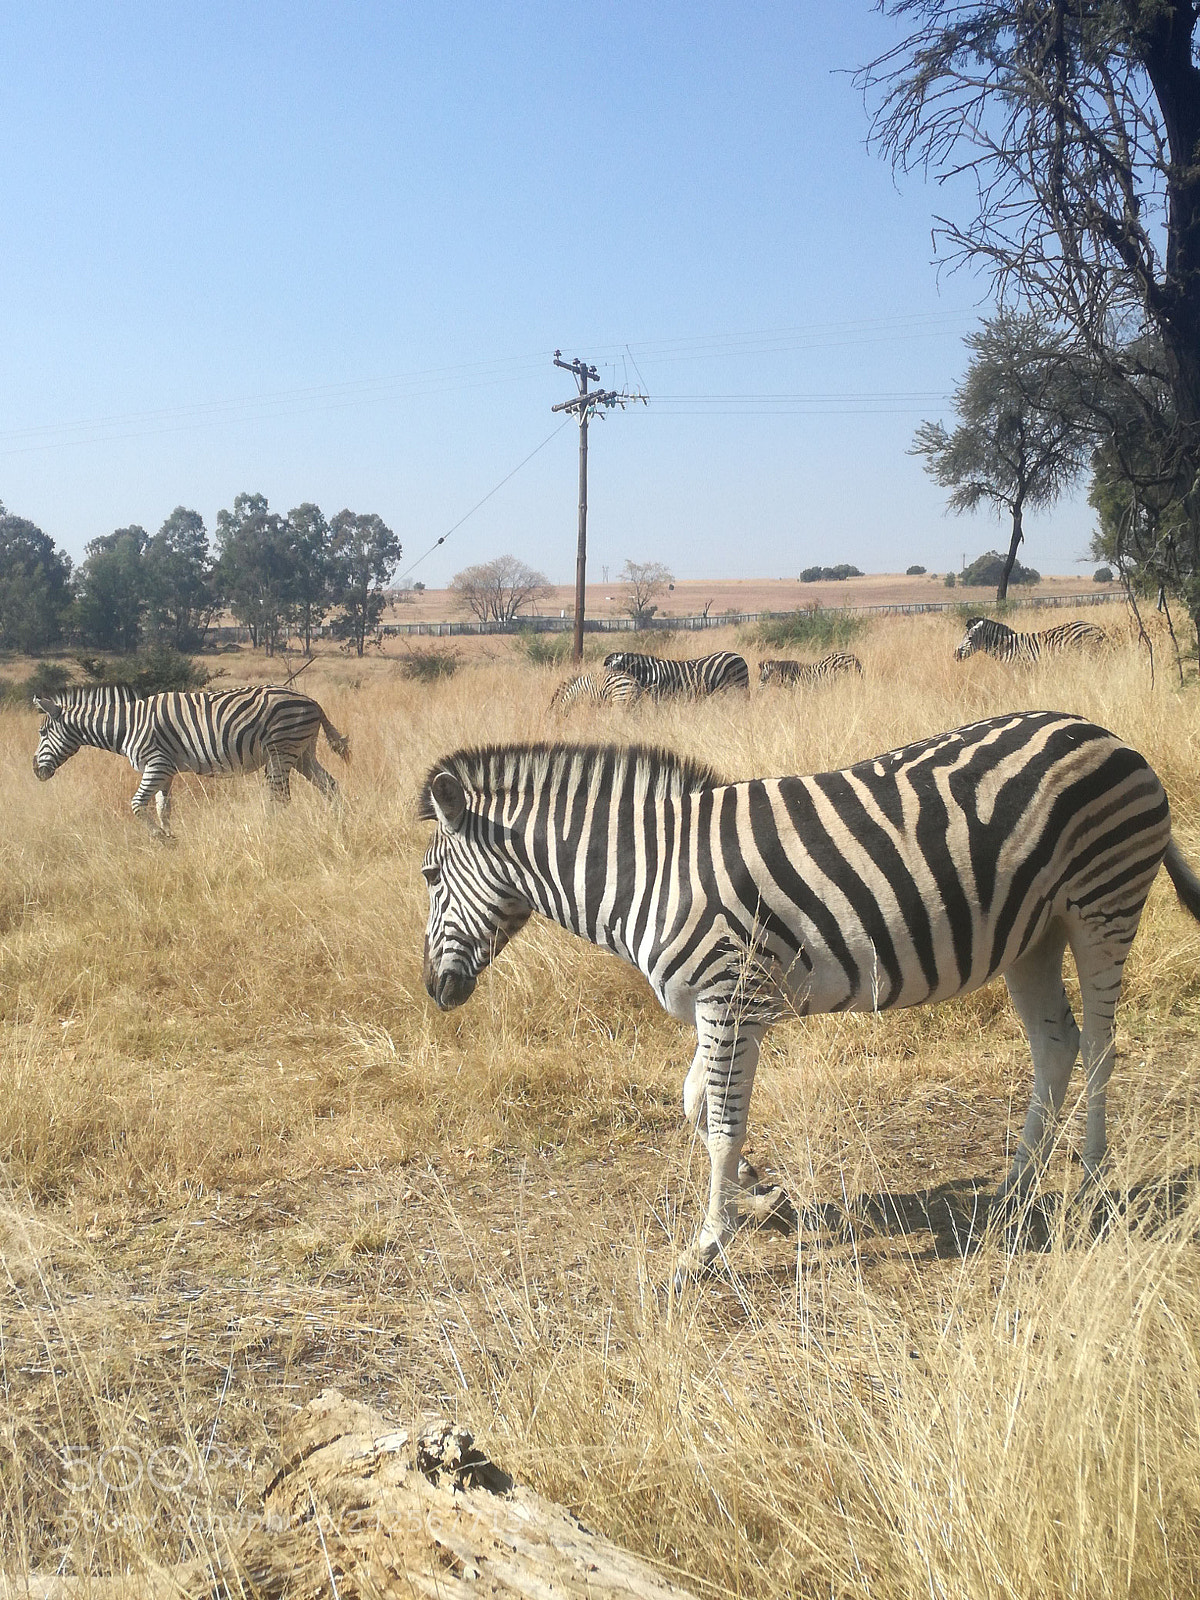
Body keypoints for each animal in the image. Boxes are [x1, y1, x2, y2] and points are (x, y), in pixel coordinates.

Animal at [33, 683, 350, 834]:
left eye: (42, 732)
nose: (36, 771)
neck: (128, 725)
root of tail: (311, 701)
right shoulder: (165, 770)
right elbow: (163, 808)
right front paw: (171, 839)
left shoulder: (156, 765)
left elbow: (136, 805)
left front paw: (160, 839)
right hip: (302, 753)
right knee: (330, 785)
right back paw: (338, 821)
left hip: (280, 750)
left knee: (280, 797)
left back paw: (268, 830)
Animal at [419, 712, 1200, 1282]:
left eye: (428, 876)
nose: (435, 991)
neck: (652, 870)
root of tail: (1105, 732)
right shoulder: (720, 1005)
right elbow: (696, 1104)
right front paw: (761, 1194)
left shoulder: (728, 997)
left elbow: (722, 1122)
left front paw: (707, 1245)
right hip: (1032, 934)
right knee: (1055, 1044)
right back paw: (1016, 1187)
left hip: (1102, 906)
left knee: (1100, 1044)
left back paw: (1091, 1179)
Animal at [602, 649, 750, 698]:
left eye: (610, 670)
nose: (603, 688)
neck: (650, 672)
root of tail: (738, 655)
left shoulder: (660, 694)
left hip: (739, 684)